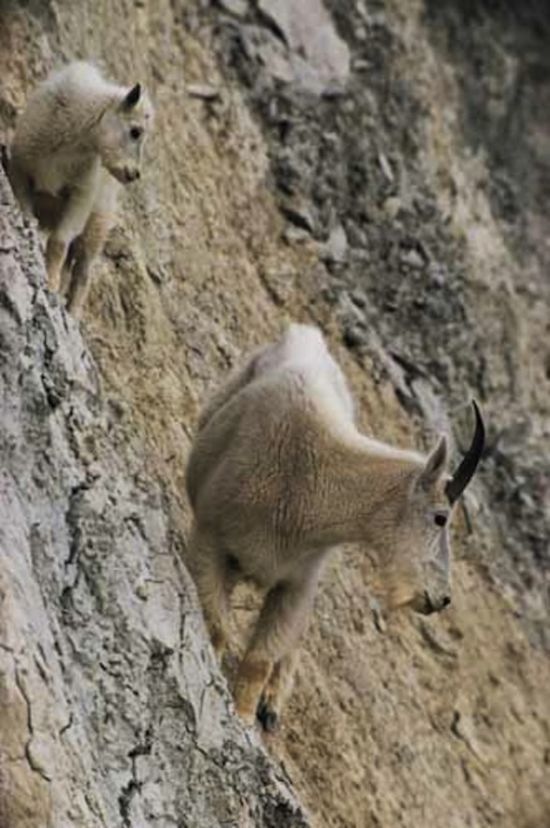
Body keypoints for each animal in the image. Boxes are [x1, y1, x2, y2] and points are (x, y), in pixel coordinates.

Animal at [8, 61, 154, 316]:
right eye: (136, 131)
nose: (134, 174)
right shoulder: (20, 169)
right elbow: (28, 217)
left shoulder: (81, 195)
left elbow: (59, 242)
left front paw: (50, 283)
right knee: (71, 266)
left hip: (98, 224)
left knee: (83, 271)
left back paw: (73, 313)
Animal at [187, 324, 488, 732]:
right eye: (441, 516)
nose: (442, 598)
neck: (310, 481)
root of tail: (304, 332)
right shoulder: (211, 538)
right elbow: (215, 624)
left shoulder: (296, 582)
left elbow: (260, 659)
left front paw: (246, 717)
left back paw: (273, 704)